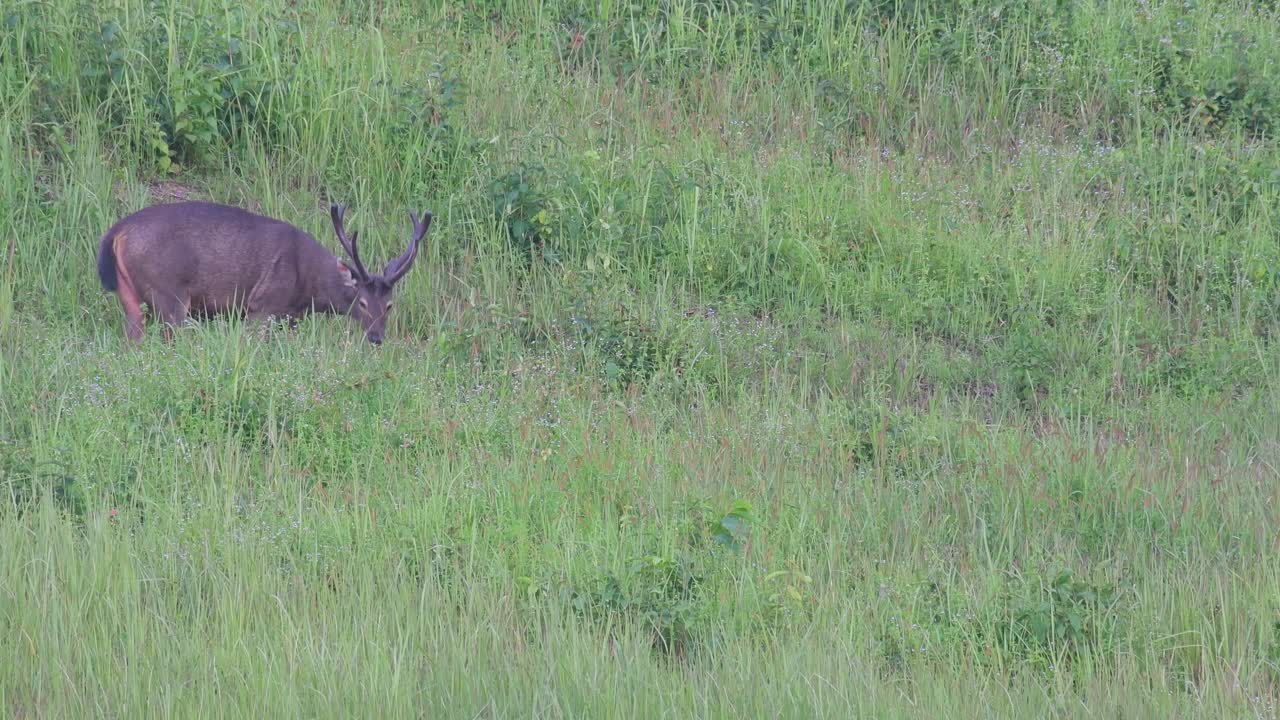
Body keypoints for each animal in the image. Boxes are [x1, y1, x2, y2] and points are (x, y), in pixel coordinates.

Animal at [96, 200, 431, 345]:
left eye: (389, 305)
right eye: (361, 301)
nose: (376, 338)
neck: (308, 289)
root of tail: (116, 233)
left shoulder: (290, 318)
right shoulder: (261, 306)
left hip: (130, 294)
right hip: (169, 294)